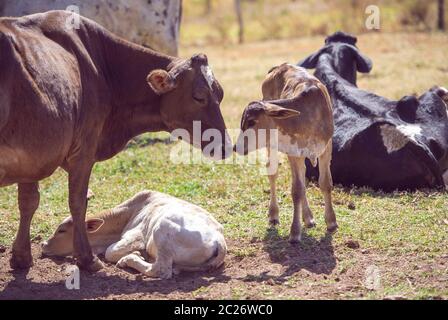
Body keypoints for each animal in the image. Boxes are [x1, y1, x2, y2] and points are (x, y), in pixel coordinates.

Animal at [42, 191, 226, 278]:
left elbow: (110, 252)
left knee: (160, 270)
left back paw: (130, 259)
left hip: (162, 229)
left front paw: (135, 253)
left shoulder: (135, 237)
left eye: (61, 230)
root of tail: (219, 240)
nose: (43, 244)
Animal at [234, 62, 336, 242]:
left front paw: (331, 222)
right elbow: (296, 190)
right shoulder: (293, 153)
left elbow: (325, 183)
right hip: (273, 146)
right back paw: (274, 215)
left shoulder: (326, 148)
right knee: (273, 173)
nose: (236, 147)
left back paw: (308, 218)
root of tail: (280, 66)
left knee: (302, 175)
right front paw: (295, 232)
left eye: (252, 121)